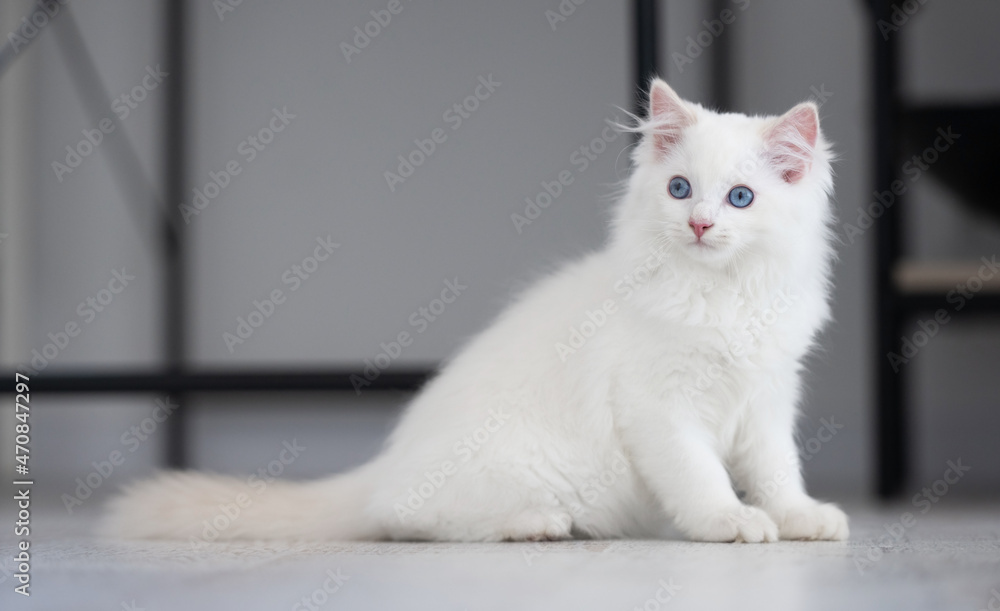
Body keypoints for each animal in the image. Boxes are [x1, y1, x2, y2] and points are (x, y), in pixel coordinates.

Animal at [105, 80, 848, 544]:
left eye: (740, 198)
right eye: (680, 189)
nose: (697, 224)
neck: (721, 296)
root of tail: (385, 462)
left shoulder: (768, 398)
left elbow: (778, 471)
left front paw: (801, 518)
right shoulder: (660, 408)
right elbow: (701, 476)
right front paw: (731, 521)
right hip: (512, 473)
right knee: (406, 518)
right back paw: (537, 524)